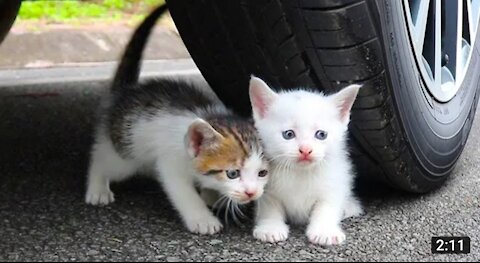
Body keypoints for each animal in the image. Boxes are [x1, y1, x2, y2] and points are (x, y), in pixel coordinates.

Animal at [84, 6, 268, 236]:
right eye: (232, 173)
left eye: (262, 173)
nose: (251, 193)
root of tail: (125, 92)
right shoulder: (171, 163)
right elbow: (183, 192)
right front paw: (202, 219)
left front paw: (211, 194)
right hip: (127, 154)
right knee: (103, 157)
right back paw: (97, 187)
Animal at [249, 76, 362, 245]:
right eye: (288, 134)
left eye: (321, 134)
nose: (305, 150)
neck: (300, 173)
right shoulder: (266, 187)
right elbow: (269, 207)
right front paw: (271, 228)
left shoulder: (335, 182)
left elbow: (326, 207)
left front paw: (324, 231)